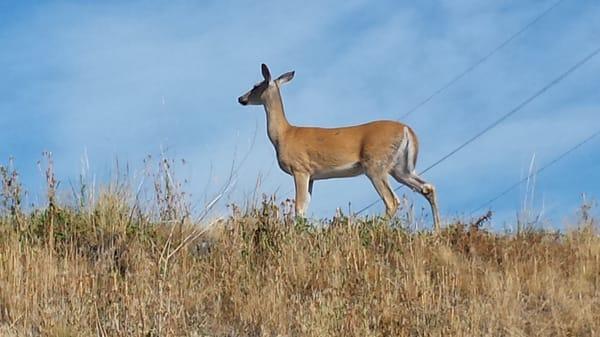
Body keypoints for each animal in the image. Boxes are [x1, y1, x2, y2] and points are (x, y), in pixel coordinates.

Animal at [238, 64, 440, 230]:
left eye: (256, 85)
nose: (241, 98)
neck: (284, 135)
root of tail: (407, 130)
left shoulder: (300, 168)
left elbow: (299, 207)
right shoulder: (313, 176)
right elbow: (305, 206)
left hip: (375, 164)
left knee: (392, 201)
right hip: (401, 168)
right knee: (428, 187)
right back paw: (437, 230)